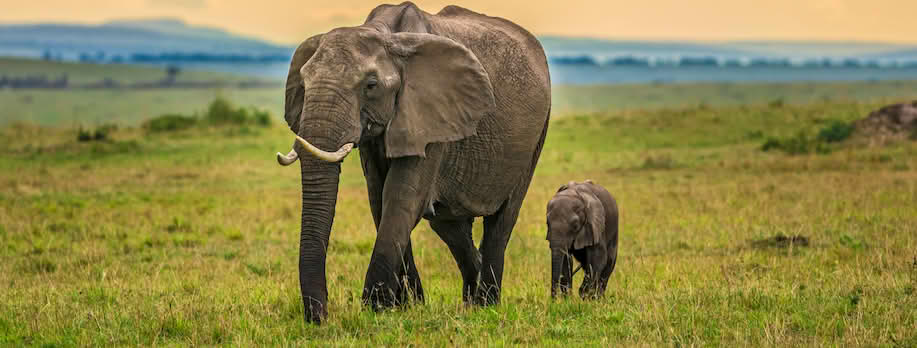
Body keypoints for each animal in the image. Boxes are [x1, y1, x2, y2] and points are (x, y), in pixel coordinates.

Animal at [274, 2, 552, 324]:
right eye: (304, 83)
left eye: (371, 85)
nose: (319, 317)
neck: (385, 35)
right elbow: (380, 200)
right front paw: (408, 307)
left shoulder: (430, 114)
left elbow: (401, 198)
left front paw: (376, 309)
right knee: (451, 227)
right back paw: (470, 301)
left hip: (535, 137)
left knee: (502, 220)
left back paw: (487, 305)